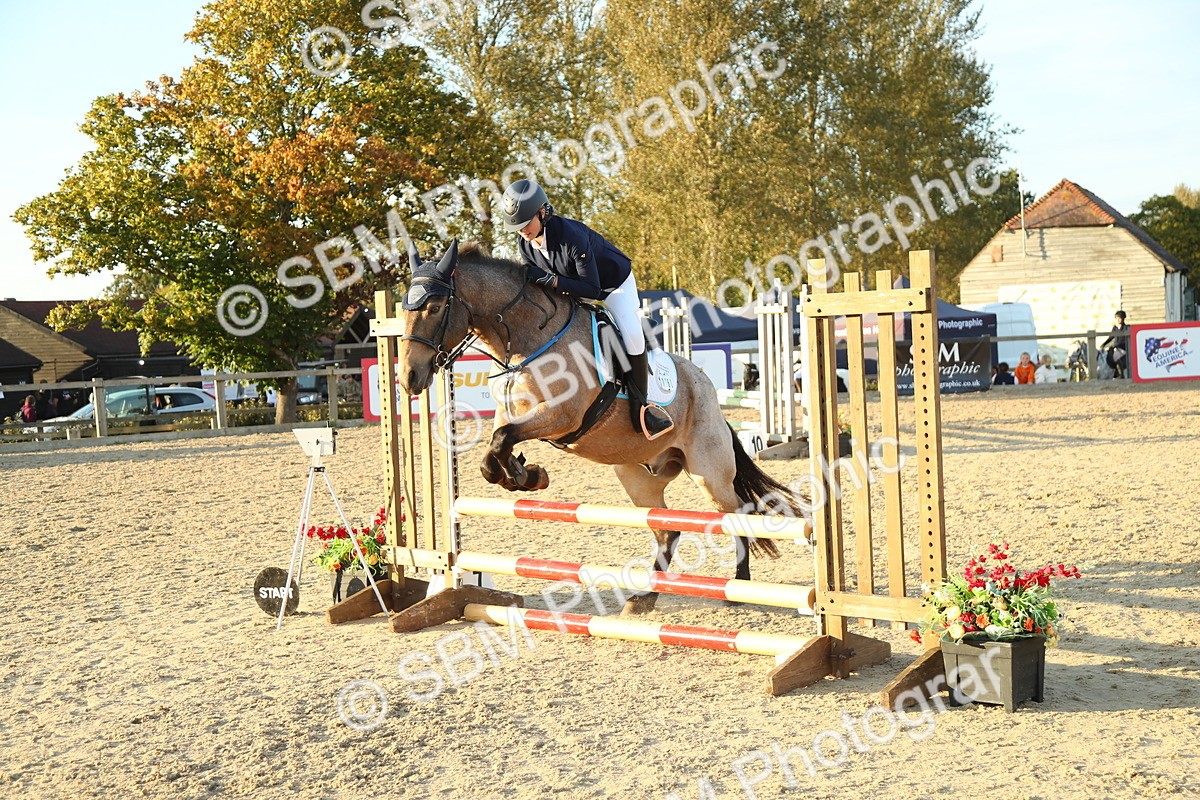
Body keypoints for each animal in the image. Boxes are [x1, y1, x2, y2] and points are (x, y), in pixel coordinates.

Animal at [395, 240, 807, 613]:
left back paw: (739, 586)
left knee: (737, 514)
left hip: (709, 473)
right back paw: (644, 598)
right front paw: (526, 475)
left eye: (434, 307)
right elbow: (492, 453)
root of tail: (706, 387)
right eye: (404, 310)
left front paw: (526, 473)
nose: (409, 378)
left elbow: (500, 439)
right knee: (667, 529)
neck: (531, 338)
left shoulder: (562, 415)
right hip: (638, 476)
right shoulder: (513, 412)